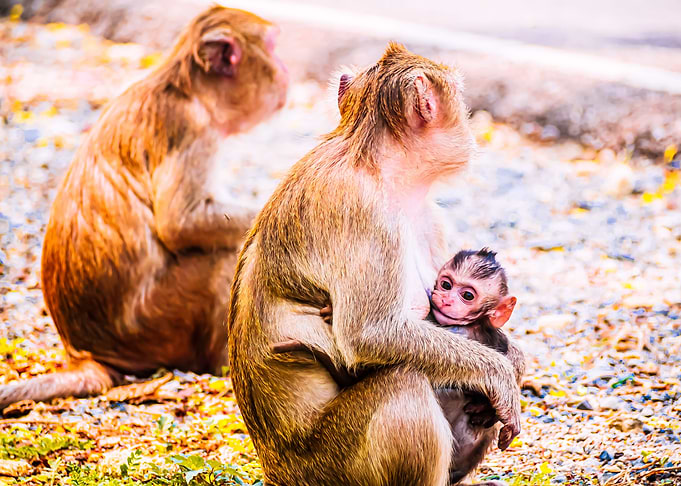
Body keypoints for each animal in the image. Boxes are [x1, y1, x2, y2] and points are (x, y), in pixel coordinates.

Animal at [0, 5, 288, 410]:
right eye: (274, 48)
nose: (286, 69)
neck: (189, 90)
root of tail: (83, 353)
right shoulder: (190, 129)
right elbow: (180, 223)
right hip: (156, 325)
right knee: (220, 256)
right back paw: (222, 366)